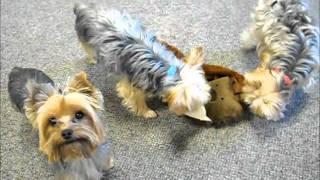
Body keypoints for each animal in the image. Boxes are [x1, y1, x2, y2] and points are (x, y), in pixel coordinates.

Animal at [74, 3, 211, 119]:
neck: (167, 69)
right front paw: (146, 112)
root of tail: (86, 7)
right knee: (86, 47)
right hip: (85, 35)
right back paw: (92, 59)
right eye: (192, 105)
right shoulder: (131, 85)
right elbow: (137, 99)